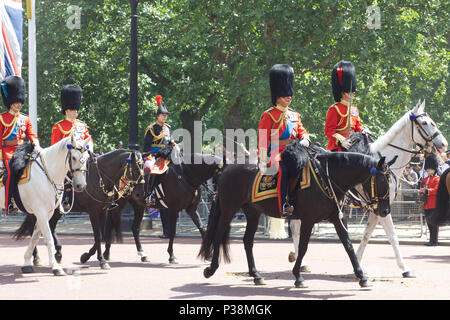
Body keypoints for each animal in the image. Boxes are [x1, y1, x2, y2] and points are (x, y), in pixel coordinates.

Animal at [0, 135, 90, 276]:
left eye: (86, 158)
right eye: (74, 157)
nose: (81, 185)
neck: (47, 174)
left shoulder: (47, 212)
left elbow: (35, 236)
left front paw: (27, 262)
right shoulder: (40, 211)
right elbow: (48, 238)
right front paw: (56, 267)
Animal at [14, 149, 145, 268]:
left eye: (144, 169)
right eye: (136, 169)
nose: (140, 194)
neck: (99, 176)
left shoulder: (103, 211)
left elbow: (101, 236)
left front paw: (86, 256)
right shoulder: (93, 212)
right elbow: (98, 236)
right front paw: (100, 260)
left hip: (56, 211)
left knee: (50, 226)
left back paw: (58, 253)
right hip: (38, 209)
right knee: (33, 229)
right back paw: (36, 257)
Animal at [199, 141, 392, 288]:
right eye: (383, 182)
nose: (385, 211)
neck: (326, 177)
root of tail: (227, 168)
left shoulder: (338, 218)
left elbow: (348, 246)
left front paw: (362, 277)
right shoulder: (308, 220)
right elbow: (304, 246)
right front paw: (298, 277)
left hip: (253, 213)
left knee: (247, 241)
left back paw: (256, 275)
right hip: (228, 209)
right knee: (218, 235)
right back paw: (211, 269)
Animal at [288, 100, 446, 278]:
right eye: (425, 123)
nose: (444, 144)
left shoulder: (378, 208)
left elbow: (366, 234)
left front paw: (356, 262)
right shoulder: (383, 208)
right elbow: (393, 236)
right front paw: (404, 268)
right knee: (295, 229)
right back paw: (301, 264)